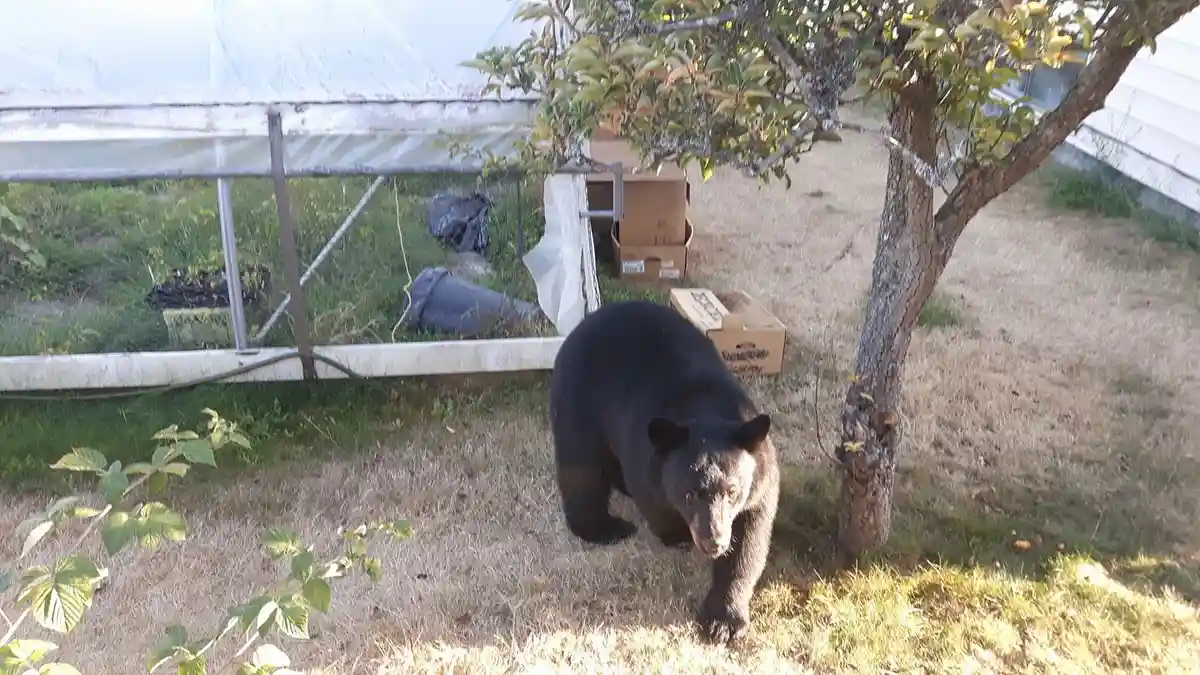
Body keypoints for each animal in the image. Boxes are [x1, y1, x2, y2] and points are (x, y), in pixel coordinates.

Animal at [548, 299, 780, 645]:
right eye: (689, 494)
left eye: (733, 492)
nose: (713, 542)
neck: (707, 411)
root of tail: (584, 323)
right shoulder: (644, 458)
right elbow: (654, 502)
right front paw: (677, 534)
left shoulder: (760, 483)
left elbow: (749, 542)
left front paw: (724, 622)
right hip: (578, 401)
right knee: (581, 469)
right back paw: (607, 527)